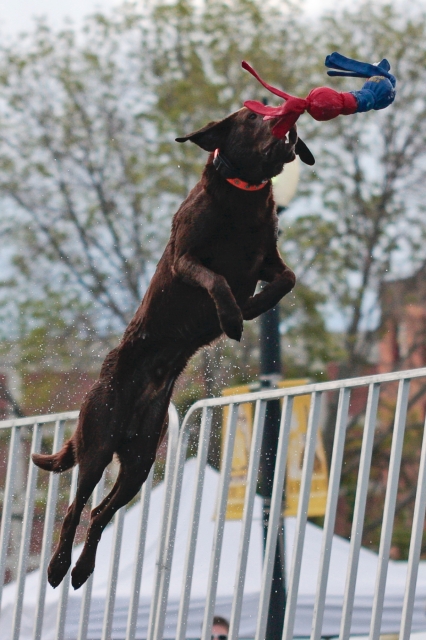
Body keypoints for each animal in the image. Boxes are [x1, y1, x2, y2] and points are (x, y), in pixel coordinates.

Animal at [31, 106, 314, 592]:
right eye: (252, 117)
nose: (291, 128)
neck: (243, 199)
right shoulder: (186, 259)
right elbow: (217, 281)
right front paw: (232, 316)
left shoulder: (268, 260)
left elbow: (287, 279)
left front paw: (251, 307)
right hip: (98, 443)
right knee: (75, 508)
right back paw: (57, 567)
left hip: (142, 458)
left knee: (101, 512)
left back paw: (82, 570)